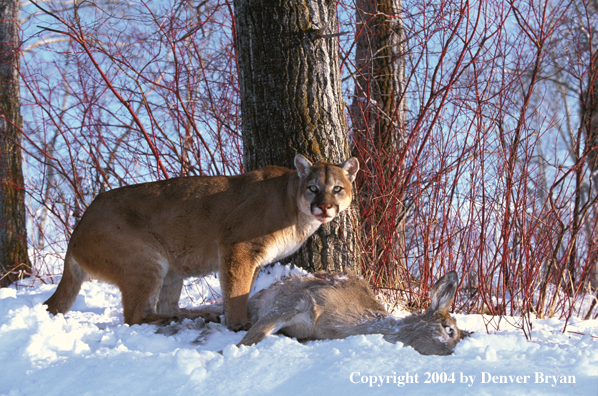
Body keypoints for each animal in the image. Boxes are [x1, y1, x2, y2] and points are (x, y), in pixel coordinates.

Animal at [45, 155, 360, 332]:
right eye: (313, 188)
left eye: (337, 188)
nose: (325, 207)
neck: (292, 203)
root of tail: (77, 229)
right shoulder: (236, 245)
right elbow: (236, 289)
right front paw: (238, 324)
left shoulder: (252, 258)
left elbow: (241, 288)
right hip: (145, 260)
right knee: (136, 316)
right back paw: (186, 319)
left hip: (171, 272)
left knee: (164, 306)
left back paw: (200, 314)